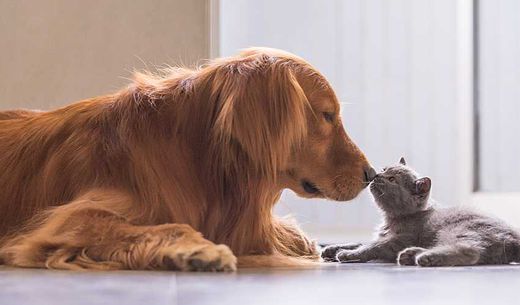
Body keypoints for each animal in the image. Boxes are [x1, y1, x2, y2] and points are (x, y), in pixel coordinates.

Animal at [0, 47, 374, 270]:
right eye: (327, 116)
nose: (371, 174)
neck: (199, 157)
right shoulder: (70, 218)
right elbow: (172, 224)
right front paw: (200, 249)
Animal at [320, 158, 520, 264]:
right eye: (385, 169)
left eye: (392, 179)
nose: (376, 175)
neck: (391, 219)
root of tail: (514, 237)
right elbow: (361, 241)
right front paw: (332, 248)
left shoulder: (399, 240)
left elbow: (373, 246)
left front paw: (348, 254)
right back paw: (410, 254)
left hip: (459, 230)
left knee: (471, 251)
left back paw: (426, 257)